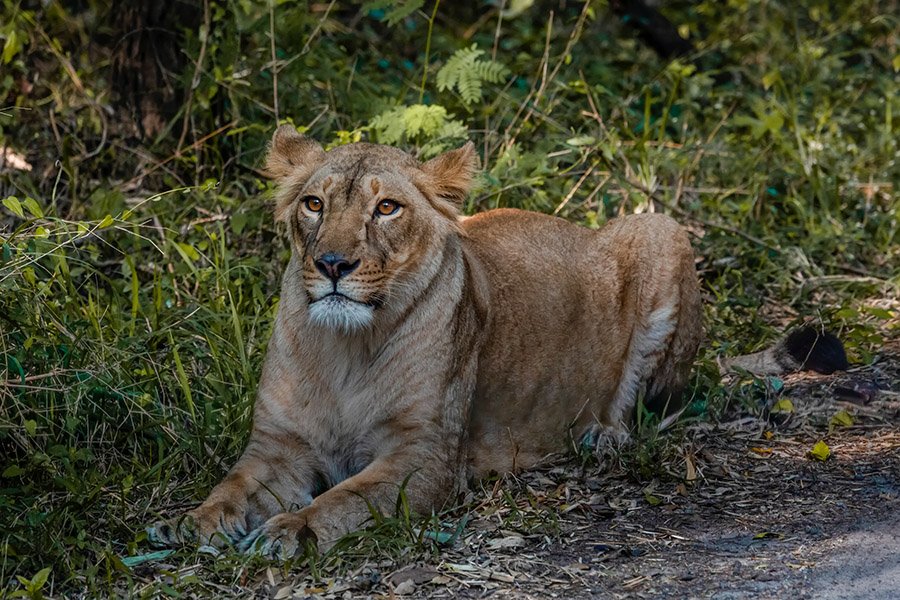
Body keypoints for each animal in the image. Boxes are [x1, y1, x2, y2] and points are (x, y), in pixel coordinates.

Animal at [148, 126, 845, 557]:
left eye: (387, 209)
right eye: (314, 204)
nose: (333, 265)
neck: (347, 347)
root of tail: (579, 227)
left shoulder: (425, 459)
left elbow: (344, 499)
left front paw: (289, 531)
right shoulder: (278, 447)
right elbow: (230, 488)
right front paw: (190, 525)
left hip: (659, 230)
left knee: (648, 403)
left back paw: (604, 438)